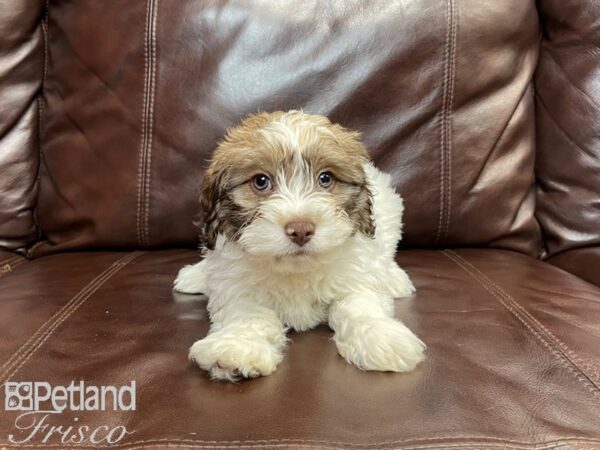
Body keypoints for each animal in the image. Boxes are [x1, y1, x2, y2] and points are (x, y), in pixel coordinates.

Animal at [173, 110, 426, 382]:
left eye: (325, 178)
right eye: (261, 181)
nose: (301, 229)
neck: (296, 269)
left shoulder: (356, 278)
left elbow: (359, 305)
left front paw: (381, 338)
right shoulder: (237, 288)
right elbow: (248, 314)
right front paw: (237, 347)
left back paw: (395, 279)